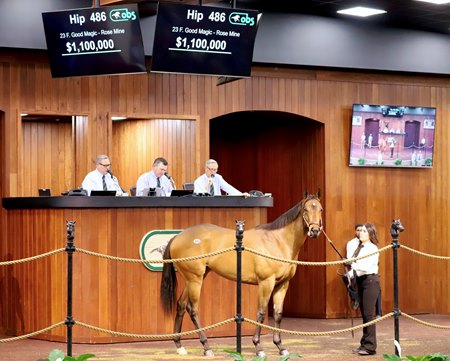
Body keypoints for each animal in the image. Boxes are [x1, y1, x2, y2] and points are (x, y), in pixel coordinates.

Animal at [160, 193, 322, 356]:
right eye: (306, 209)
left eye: (320, 209)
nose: (314, 230)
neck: (277, 241)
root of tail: (177, 237)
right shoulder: (266, 283)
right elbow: (261, 313)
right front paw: (258, 346)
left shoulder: (282, 284)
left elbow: (278, 314)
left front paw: (280, 346)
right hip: (195, 280)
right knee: (192, 309)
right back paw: (206, 347)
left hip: (194, 279)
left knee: (181, 305)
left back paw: (179, 345)